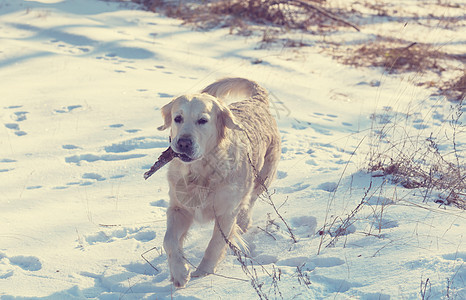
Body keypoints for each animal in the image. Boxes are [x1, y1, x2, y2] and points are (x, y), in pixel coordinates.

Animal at [158, 77, 280, 288]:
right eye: (178, 118)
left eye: (203, 120)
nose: (183, 143)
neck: (201, 172)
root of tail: (256, 100)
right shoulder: (179, 208)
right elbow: (169, 241)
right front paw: (180, 272)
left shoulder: (226, 212)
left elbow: (215, 244)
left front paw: (203, 272)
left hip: (263, 175)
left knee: (251, 199)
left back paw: (244, 221)